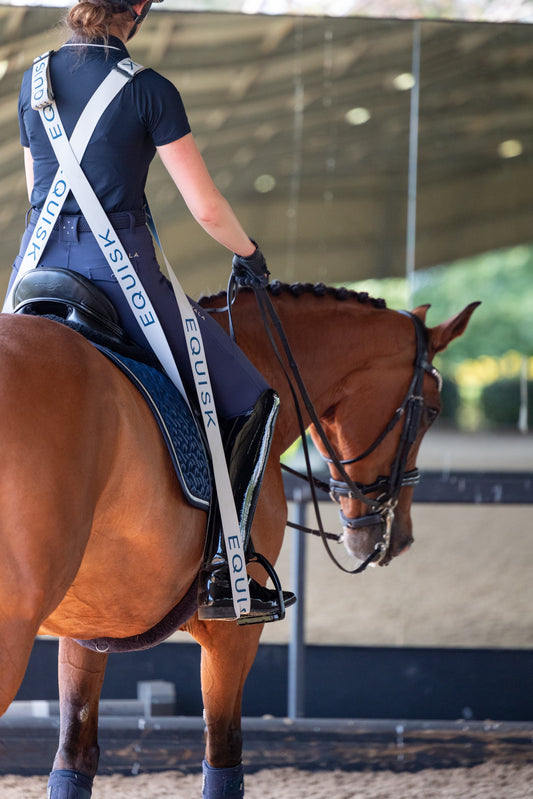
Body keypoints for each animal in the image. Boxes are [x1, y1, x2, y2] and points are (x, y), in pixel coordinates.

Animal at [0, 281, 478, 796]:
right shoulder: (236, 628)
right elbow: (224, 754)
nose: (397, 536)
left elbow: (75, 755)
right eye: (431, 412)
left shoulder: (88, 626)